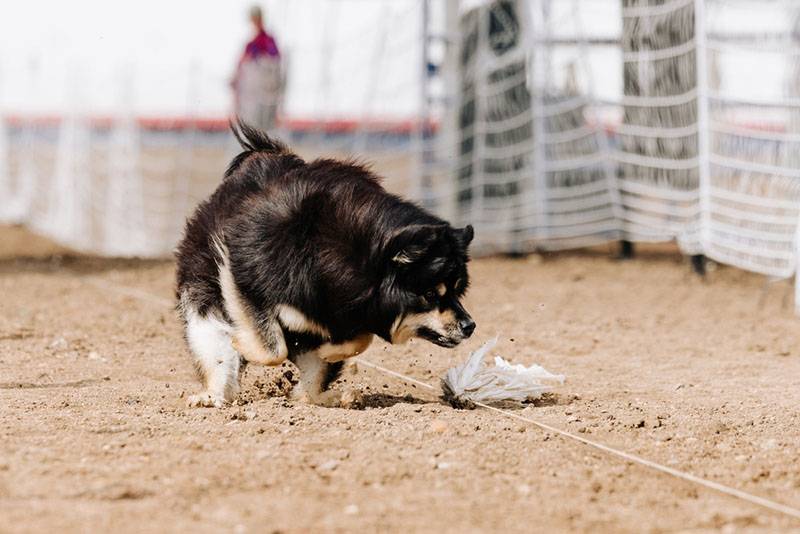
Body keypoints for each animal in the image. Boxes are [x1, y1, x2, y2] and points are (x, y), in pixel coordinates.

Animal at [176, 120, 476, 406]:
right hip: (205, 308)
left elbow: (354, 342)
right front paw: (244, 345)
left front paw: (328, 353)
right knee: (218, 352)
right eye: (430, 294)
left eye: (457, 291)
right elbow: (274, 349)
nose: (470, 326)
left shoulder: (349, 314)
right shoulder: (244, 276)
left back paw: (321, 397)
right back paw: (213, 397)